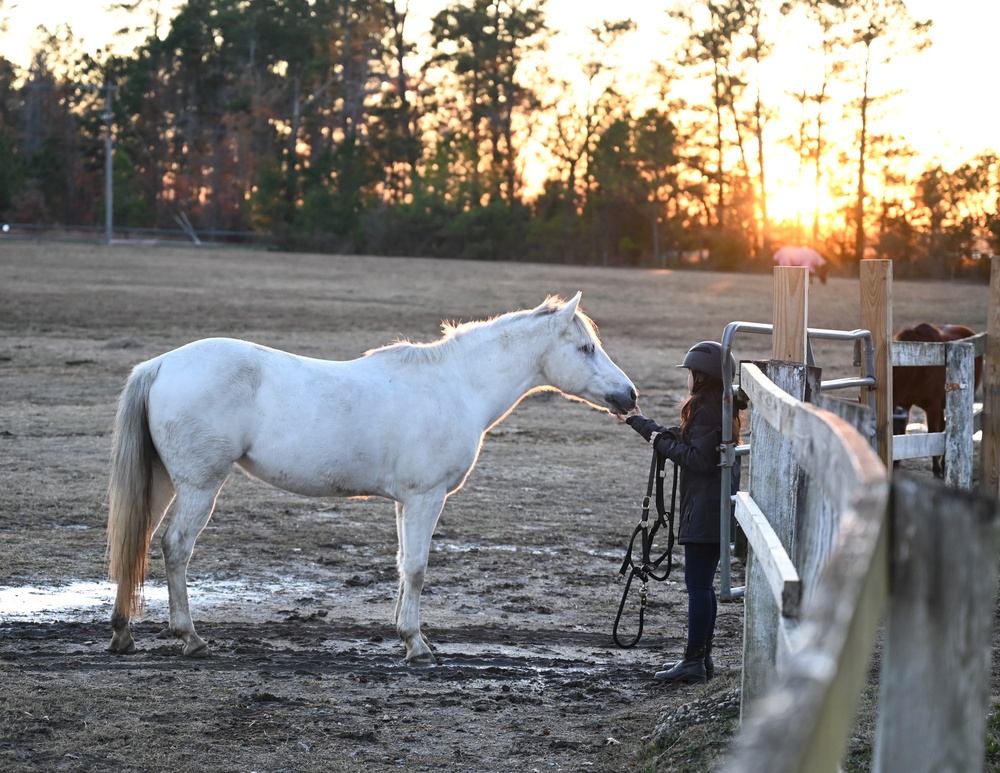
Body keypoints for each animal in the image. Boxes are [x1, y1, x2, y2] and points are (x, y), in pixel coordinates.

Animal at [107, 292, 632, 660]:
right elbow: (417, 567)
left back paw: (122, 633)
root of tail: (161, 364)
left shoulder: (405, 502)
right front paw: (416, 644)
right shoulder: (425, 498)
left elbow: (402, 565)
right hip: (199, 486)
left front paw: (406, 634)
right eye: (585, 347)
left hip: (163, 482)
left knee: (137, 542)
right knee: (176, 546)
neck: (456, 386)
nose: (629, 396)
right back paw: (190, 637)